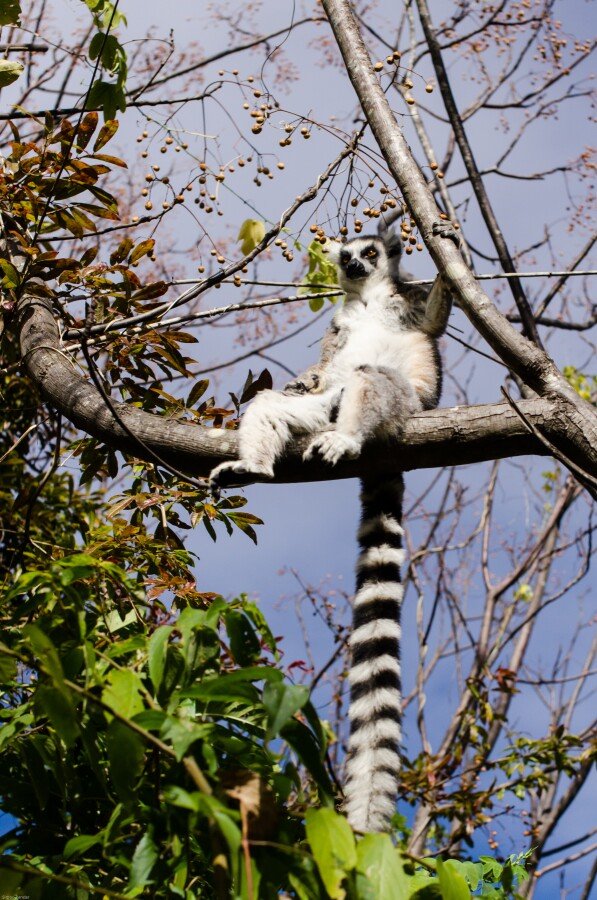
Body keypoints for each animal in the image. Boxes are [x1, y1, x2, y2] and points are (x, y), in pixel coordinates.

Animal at [209, 217, 456, 833]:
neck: (366, 300)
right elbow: (317, 366)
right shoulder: (336, 331)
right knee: (280, 403)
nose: (357, 265)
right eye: (348, 258)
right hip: (323, 406)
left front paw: (446, 244)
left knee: (370, 378)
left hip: (400, 405)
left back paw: (345, 438)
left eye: (371, 252)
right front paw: (295, 384)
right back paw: (256, 464)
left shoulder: (407, 302)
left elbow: (432, 317)